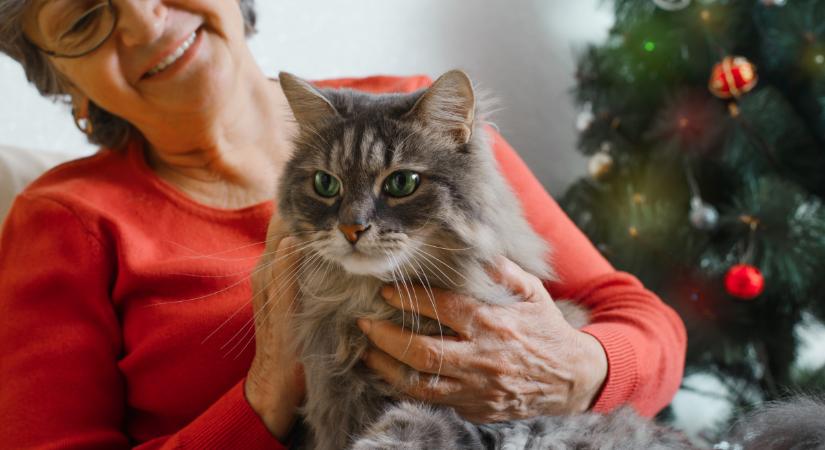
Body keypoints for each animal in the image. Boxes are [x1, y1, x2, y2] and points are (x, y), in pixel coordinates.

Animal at [268, 70, 816, 450]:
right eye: (326, 184)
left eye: (401, 183)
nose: (352, 228)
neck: (362, 308)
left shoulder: (474, 413)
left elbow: (404, 431)